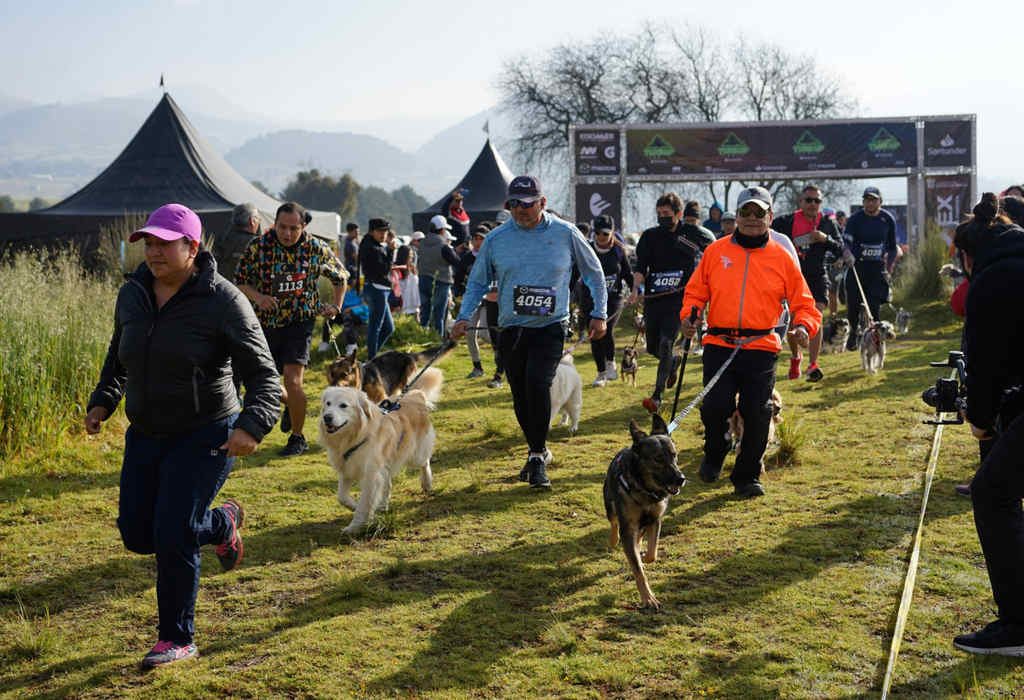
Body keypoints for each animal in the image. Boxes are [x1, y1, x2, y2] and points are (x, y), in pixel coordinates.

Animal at [313, 368, 438, 532]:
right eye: (328, 403)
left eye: (343, 405)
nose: (327, 418)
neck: (355, 437)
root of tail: (415, 395)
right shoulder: (347, 469)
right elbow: (342, 497)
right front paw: (354, 506)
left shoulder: (371, 475)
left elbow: (365, 503)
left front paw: (355, 526)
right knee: (387, 484)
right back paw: (383, 505)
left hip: (414, 455)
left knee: (425, 462)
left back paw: (426, 482)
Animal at [327, 339, 456, 401]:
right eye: (332, 374)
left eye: (344, 374)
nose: (332, 388)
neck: (362, 381)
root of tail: (407, 354)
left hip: (406, 384)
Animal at [598, 413, 688, 609]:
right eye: (658, 459)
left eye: (674, 455)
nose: (681, 479)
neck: (645, 489)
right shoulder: (629, 525)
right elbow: (638, 570)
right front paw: (648, 598)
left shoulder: (655, 519)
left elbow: (652, 553)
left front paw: (644, 556)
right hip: (610, 506)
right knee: (614, 523)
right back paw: (613, 540)